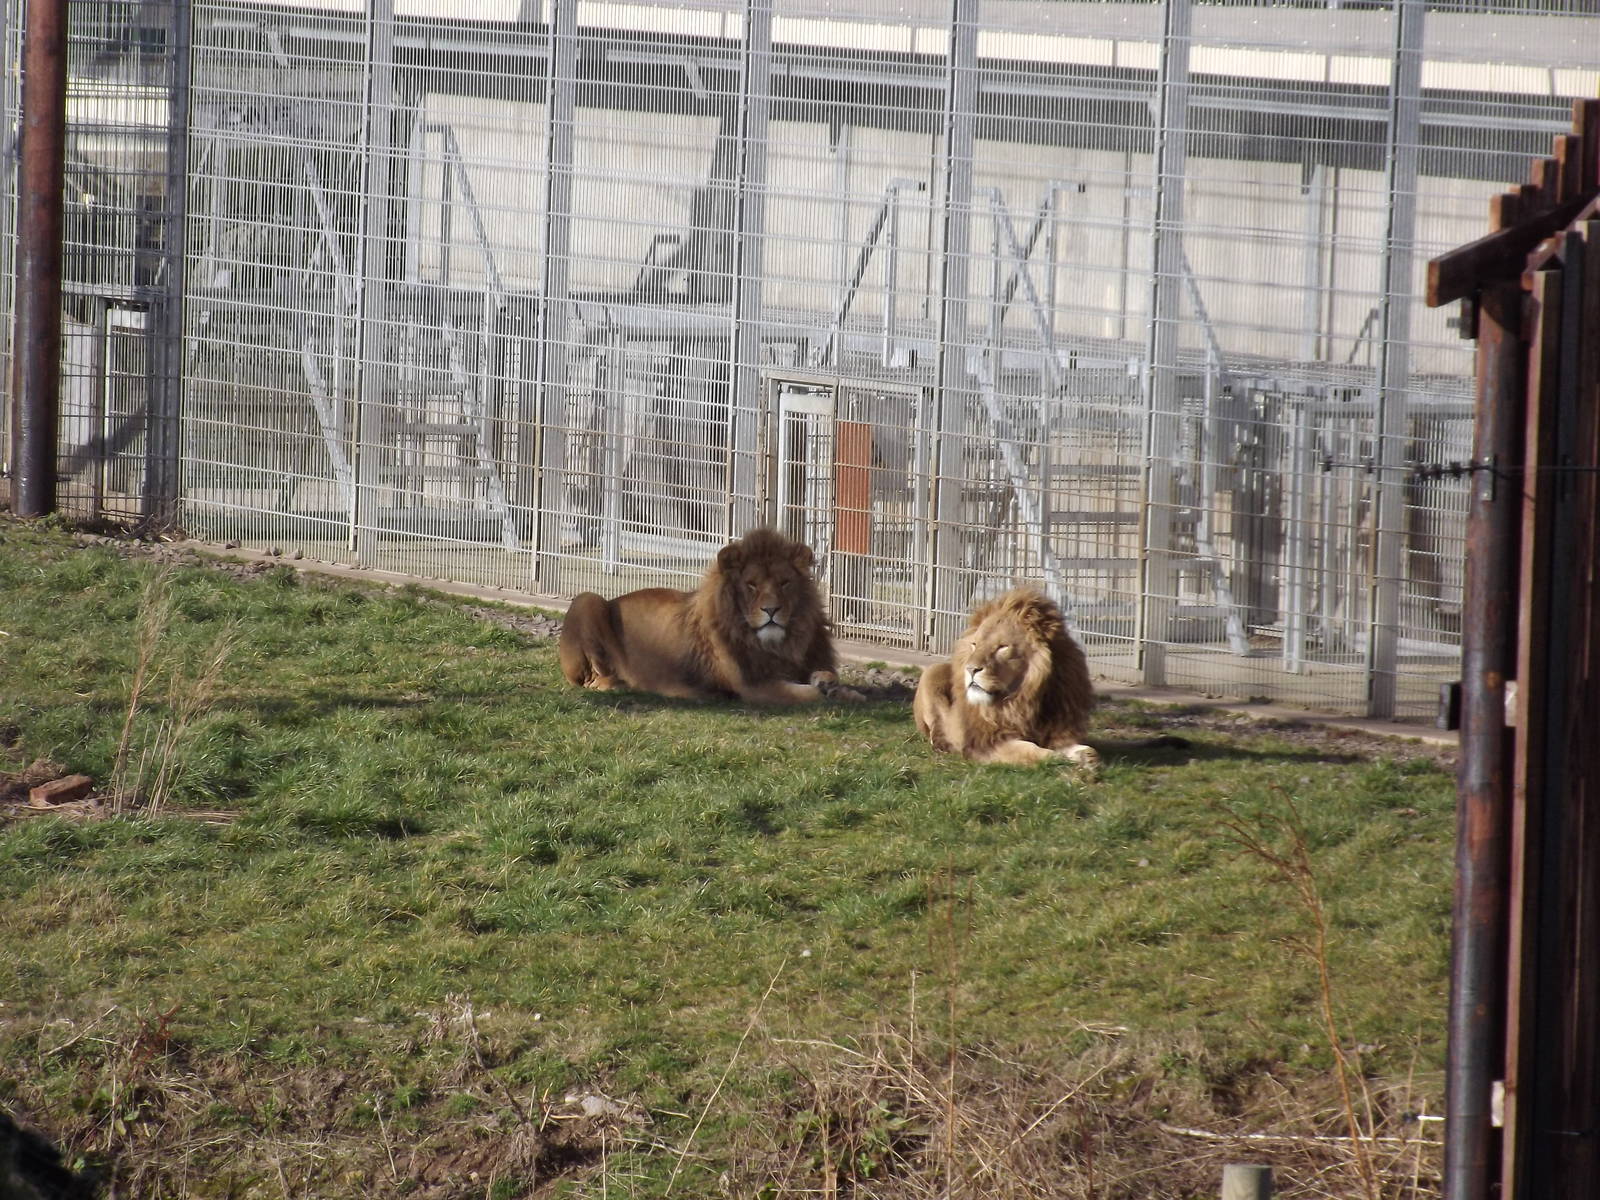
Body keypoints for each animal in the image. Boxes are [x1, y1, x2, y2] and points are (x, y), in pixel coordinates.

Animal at [558, 527, 857, 705]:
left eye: (784, 583)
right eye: (752, 585)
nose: (771, 610)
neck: (779, 645)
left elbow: (831, 680)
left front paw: (840, 688)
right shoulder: (753, 687)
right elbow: (807, 695)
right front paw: (825, 692)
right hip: (587, 599)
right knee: (592, 679)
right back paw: (621, 683)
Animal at [913, 587, 1100, 771]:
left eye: (1002, 647)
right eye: (975, 645)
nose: (970, 669)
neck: (1025, 698)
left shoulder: (1058, 730)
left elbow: (1086, 749)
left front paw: (1085, 758)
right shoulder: (985, 743)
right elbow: (1030, 750)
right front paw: (1058, 758)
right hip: (932, 672)